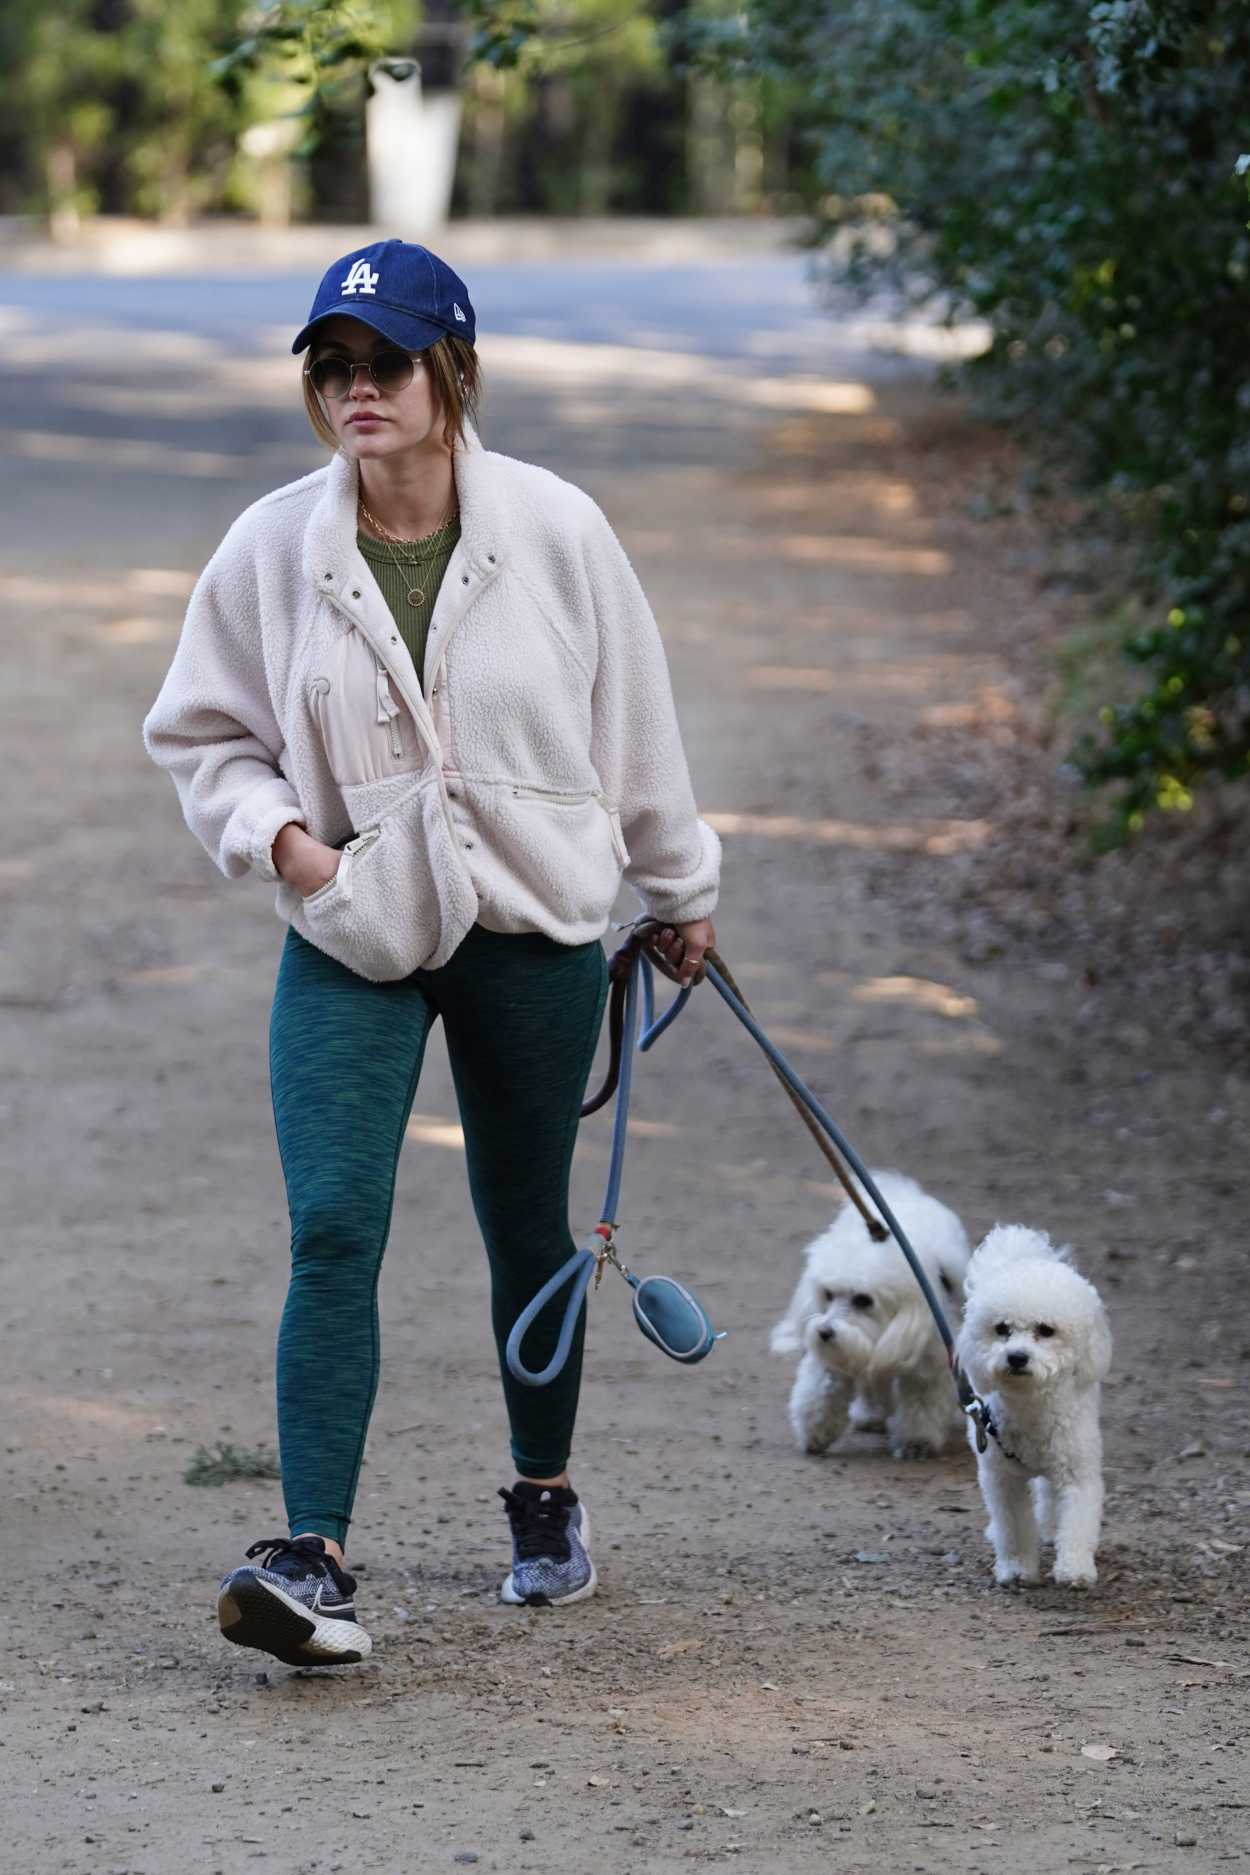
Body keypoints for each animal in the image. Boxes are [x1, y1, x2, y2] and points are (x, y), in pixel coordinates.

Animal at [768, 1170, 974, 1462]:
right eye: (828, 1294)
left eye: (863, 1300)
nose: (824, 1332)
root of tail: (903, 1192)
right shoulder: (838, 1354)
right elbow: (822, 1391)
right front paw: (816, 1431)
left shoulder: (926, 1362)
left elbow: (921, 1404)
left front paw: (917, 1442)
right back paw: (871, 1414)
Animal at [959, 1222, 1116, 1590]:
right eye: (1002, 1329)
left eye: (1046, 1330)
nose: (1016, 1357)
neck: (1030, 1405)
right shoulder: (1003, 1479)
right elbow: (1014, 1527)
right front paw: (1018, 1568)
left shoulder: (1077, 1472)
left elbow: (1077, 1520)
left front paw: (1074, 1569)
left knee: (1048, 1493)